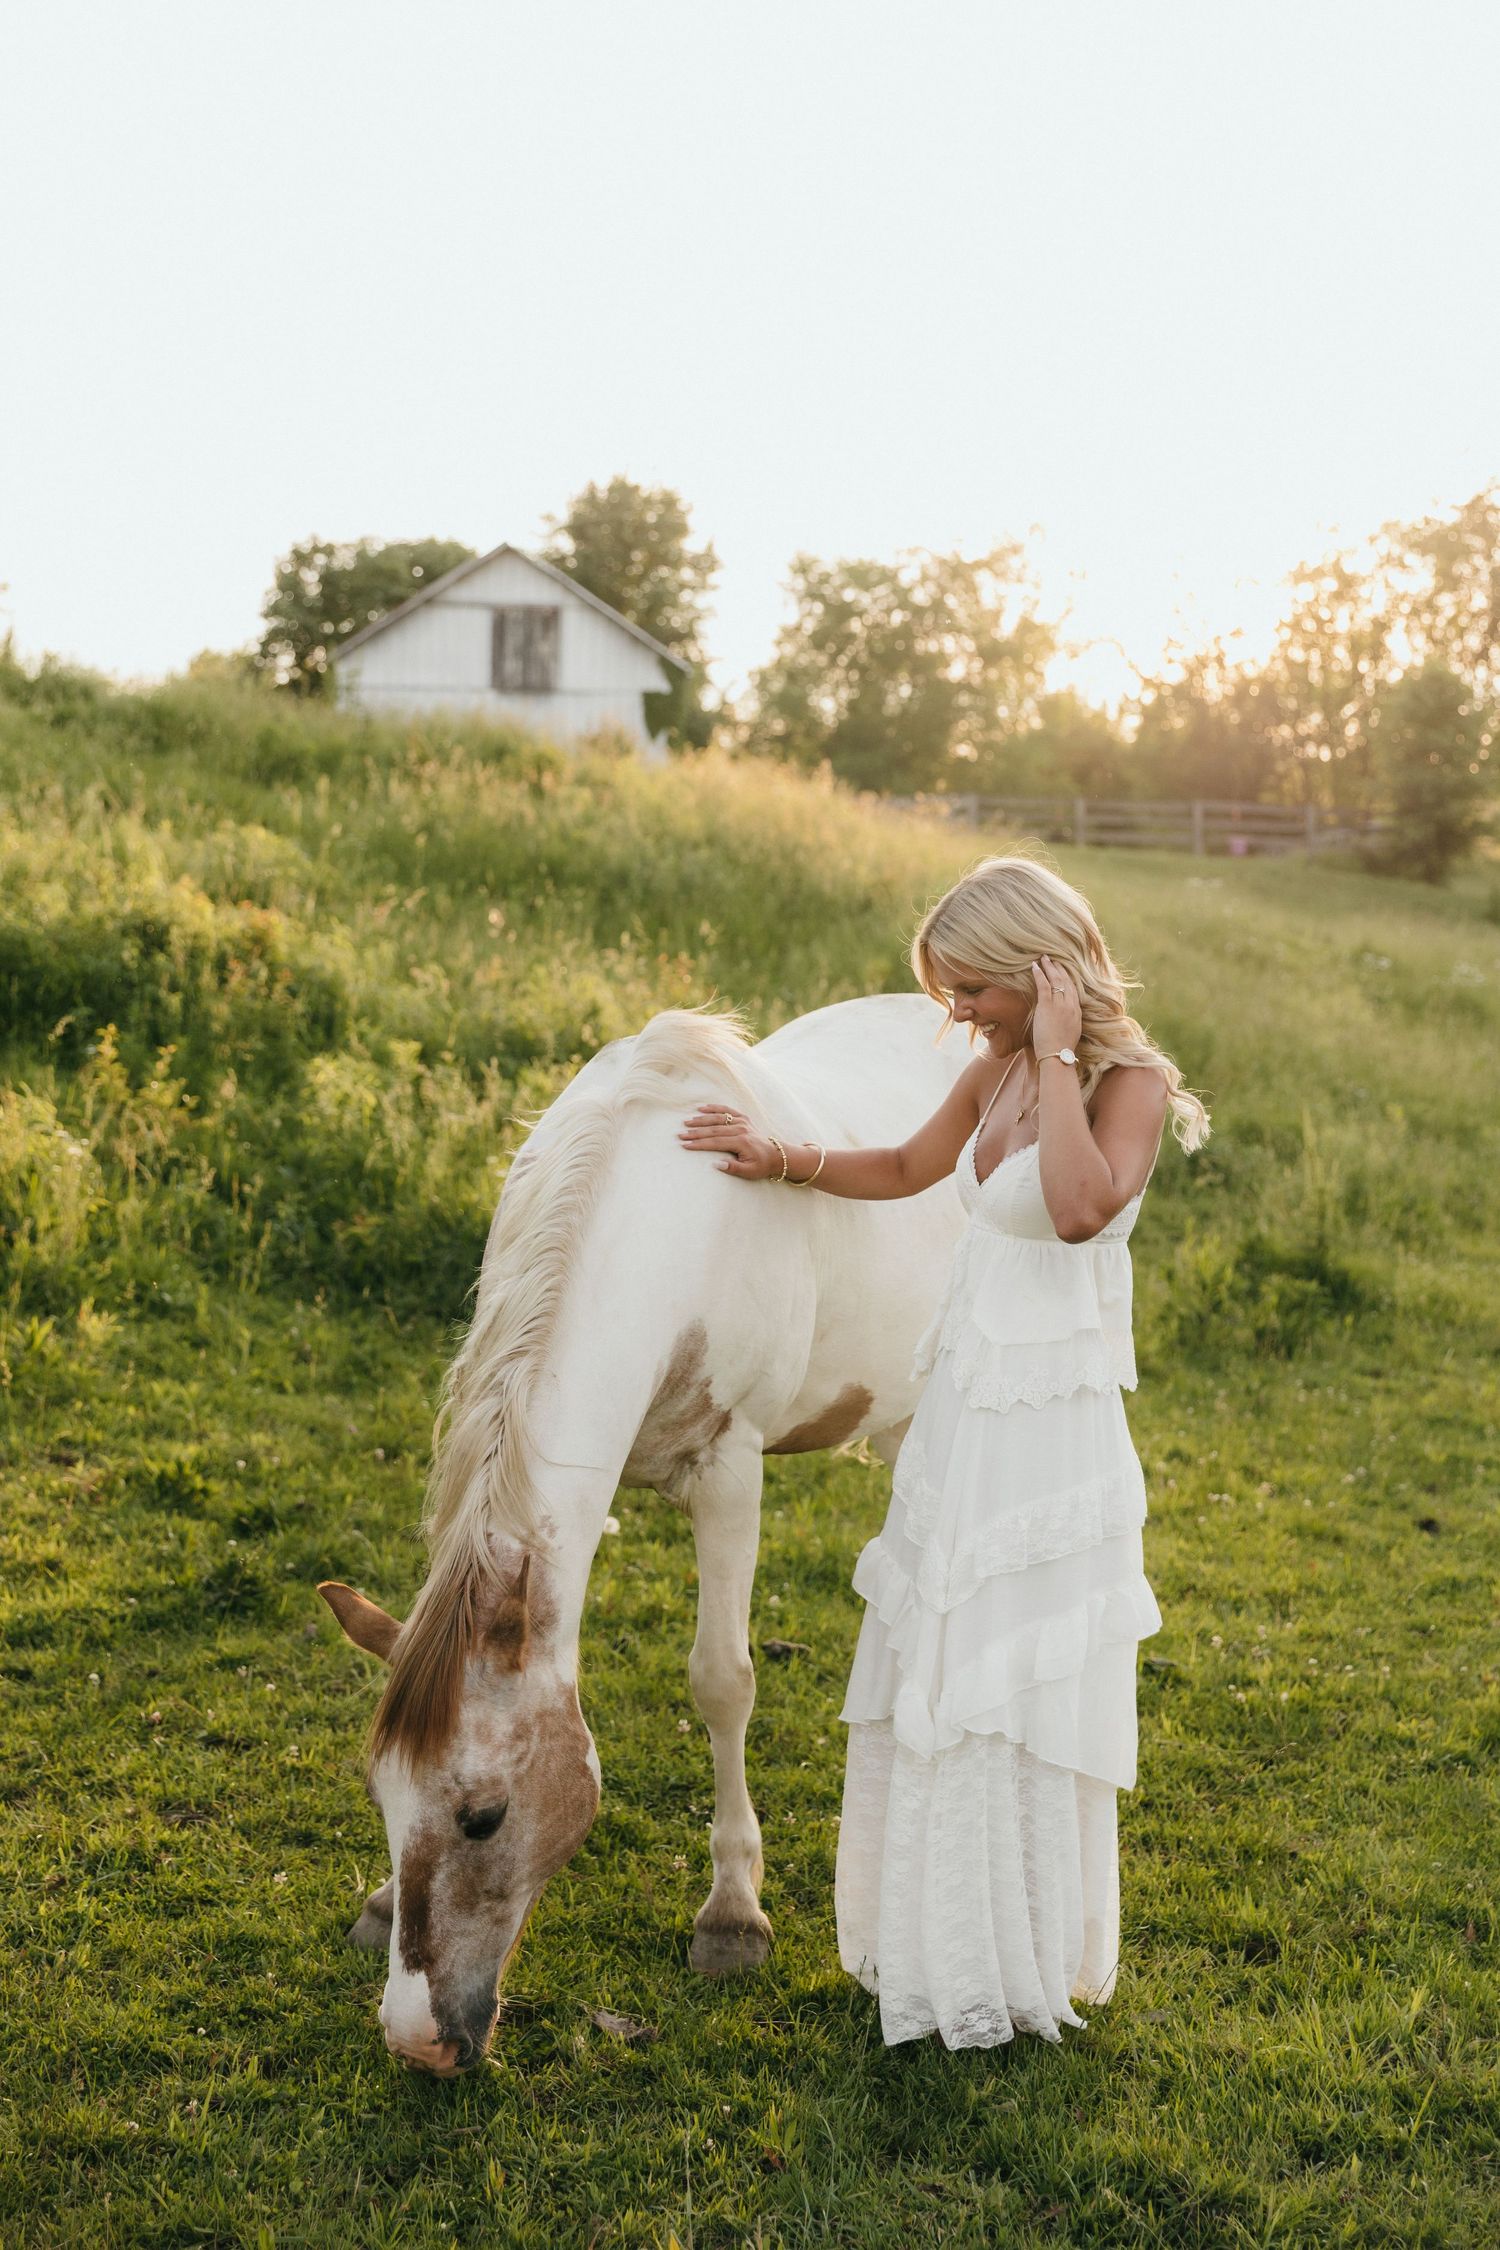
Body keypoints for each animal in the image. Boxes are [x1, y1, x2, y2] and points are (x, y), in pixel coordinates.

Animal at [318, 994, 966, 2075]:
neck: (661, 1222)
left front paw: (733, 1913)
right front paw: (376, 1902)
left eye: (485, 1818)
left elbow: (722, 1679)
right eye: (380, 1796)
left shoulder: (731, 1471)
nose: (419, 2043)